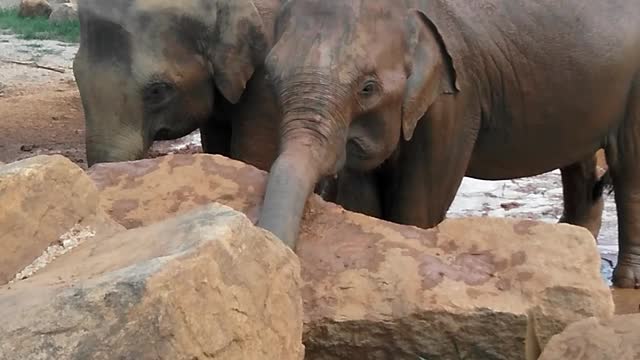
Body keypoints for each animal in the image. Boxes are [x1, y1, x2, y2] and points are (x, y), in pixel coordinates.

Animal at [256, 0, 640, 288]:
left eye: (368, 88)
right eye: (271, 76)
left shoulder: (457, 96)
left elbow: (418, 207)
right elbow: (362, 196)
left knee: (628, 168)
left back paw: (626, 281)